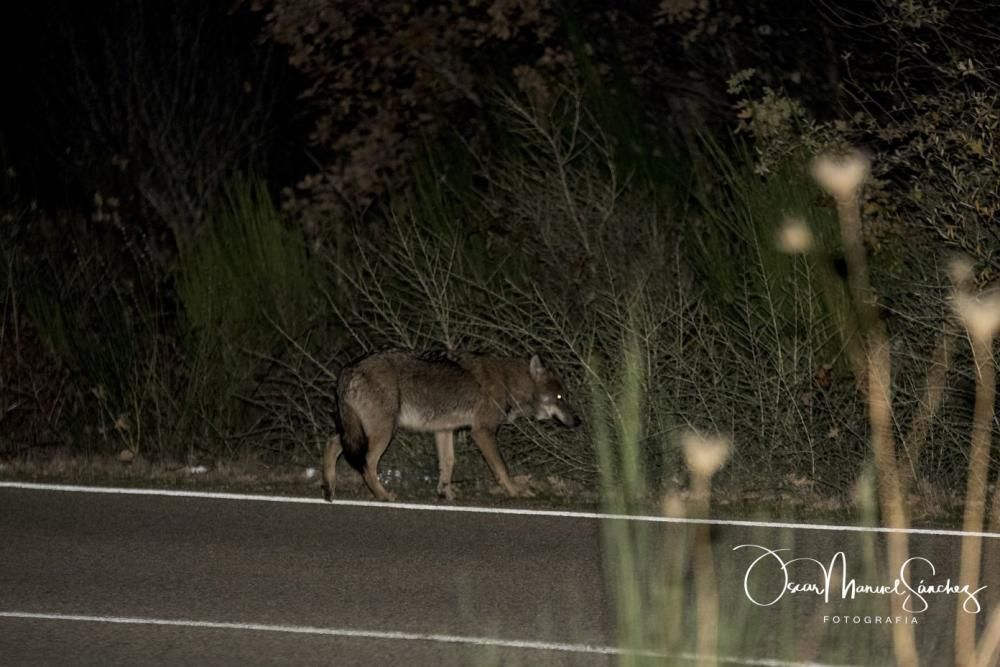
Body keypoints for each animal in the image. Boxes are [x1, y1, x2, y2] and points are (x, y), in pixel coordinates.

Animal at [320, 352, 584, 504]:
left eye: (566, 396)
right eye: (559, 397)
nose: (578, 421)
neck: (509, 383)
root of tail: (348, 369)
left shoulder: (444, 431)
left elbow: (448, 464)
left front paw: (445, 494)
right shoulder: (482, 431)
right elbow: (502, 468)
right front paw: (515, 491)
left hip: (358, 431)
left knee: (332, 443)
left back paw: (330, 488)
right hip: (383, 432)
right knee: (367, 464)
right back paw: (383, 496)